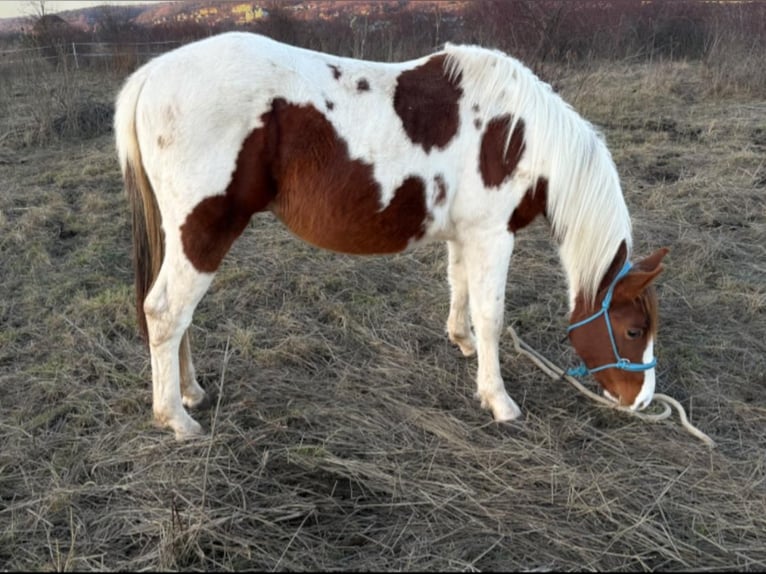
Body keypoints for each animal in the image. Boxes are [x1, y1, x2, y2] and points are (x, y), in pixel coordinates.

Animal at [115, 32, 668, 440]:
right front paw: (498, 400)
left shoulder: (465, 235)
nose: (641, 401)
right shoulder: (493, 236)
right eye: (634, 330)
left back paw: (190, 392)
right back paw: (177, 419)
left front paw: (461, 341)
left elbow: (459, 289)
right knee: (165, 313)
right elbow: (491, 316)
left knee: (179, 318)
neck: (517, 133)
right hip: (204, 231)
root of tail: (153, 75)